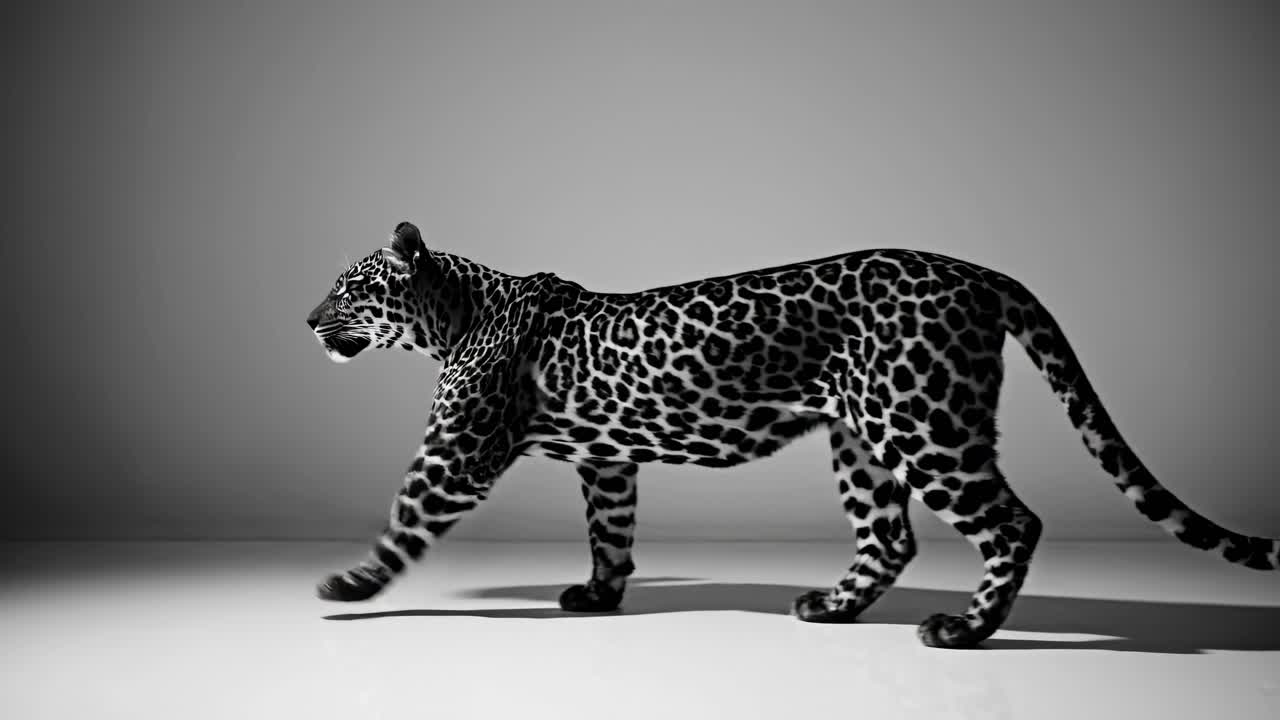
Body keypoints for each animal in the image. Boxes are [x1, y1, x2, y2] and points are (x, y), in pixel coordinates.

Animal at [306, 221, 1279, 648]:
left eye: (352, 288)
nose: (308, 322)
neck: (453, 313)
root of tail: (977, 270)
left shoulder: (458, 452)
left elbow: (405, 516)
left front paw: (350, 585)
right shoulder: (608, 461)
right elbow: (610, 530)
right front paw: (600, 595)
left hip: (923, 421)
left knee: (1012, 521)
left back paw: (965, 630)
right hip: (863, 439)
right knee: (889, 536)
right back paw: (833, 608)